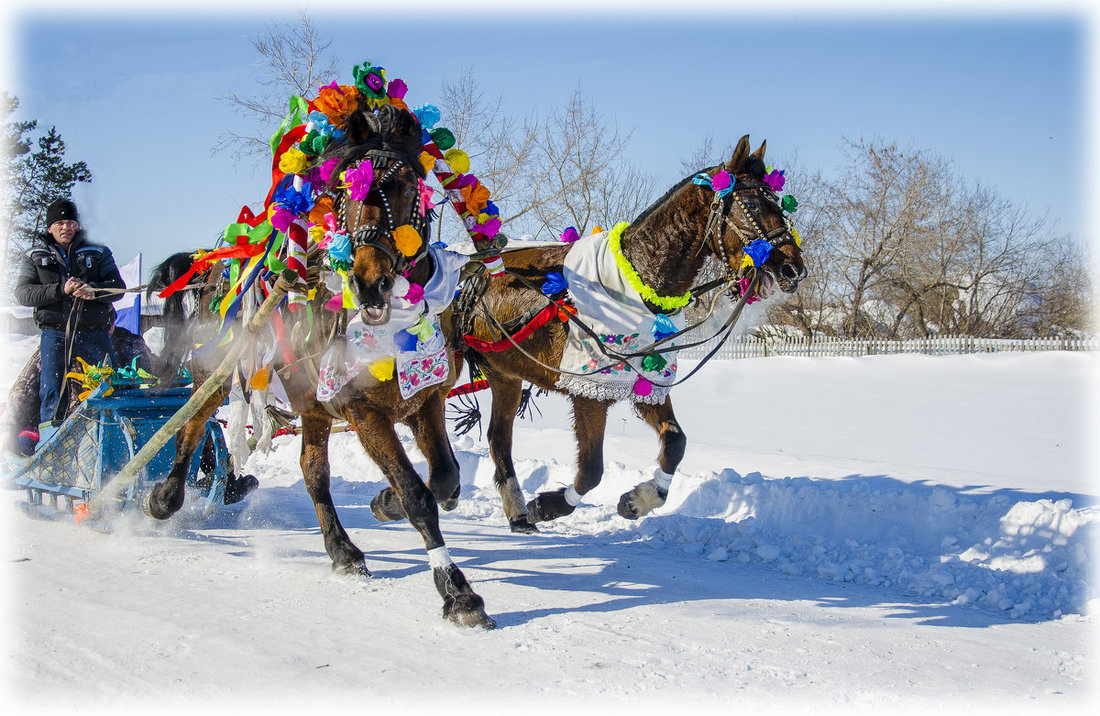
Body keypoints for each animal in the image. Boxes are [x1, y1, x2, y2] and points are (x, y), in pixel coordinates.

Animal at [145, 102, 495, 629]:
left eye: (406, 184)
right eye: (343, 191)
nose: (369, 282)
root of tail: (215, 265)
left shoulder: (424, 398)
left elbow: (445, 479)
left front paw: (384, 502)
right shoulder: (363, 410)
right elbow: (419, 496)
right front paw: (457, 591)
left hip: (310, 403)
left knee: (313, 471)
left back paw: (342, 549)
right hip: (221, 371)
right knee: (191, 423)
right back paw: (166, 498)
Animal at [451, 137, 805, 534]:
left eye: (779, 205)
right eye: (752, 205)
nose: (794, 268)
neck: (636, 281)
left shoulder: (647, 380)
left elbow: (675, 442)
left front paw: (640, 499)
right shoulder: (590, 392)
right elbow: (591, 469)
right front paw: (550, 504)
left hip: (505, 375)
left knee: (498, 438)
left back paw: (516, 512)